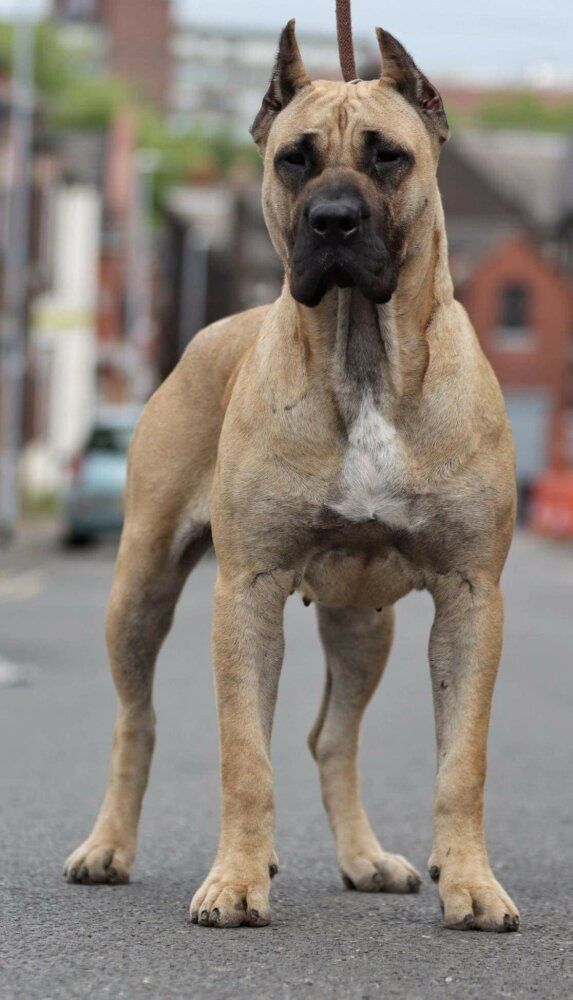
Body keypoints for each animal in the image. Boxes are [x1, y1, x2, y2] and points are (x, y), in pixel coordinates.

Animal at [65, 23, 520, 932]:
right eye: (292, 160)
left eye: (388, 157)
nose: (332, 219)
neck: (363, 355)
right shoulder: (247, 590)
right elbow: (244, 754)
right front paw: (236, 881)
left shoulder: (469, 597)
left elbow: (462, 762)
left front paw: (471, 883)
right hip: (139, 588)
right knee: (137, 721)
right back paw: (107, 848)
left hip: (363, 623)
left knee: (330, 737)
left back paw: (365, 860)